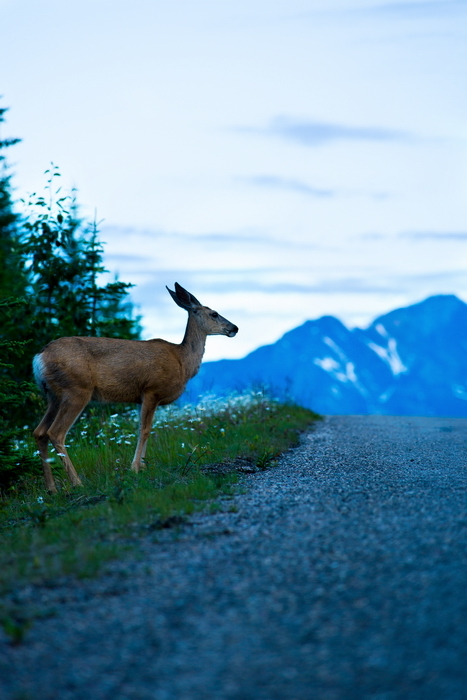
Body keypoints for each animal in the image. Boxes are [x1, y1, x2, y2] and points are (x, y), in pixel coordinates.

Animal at [33, 284, 239, 492]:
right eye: (214, 313)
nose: (234, 328)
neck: (182, 361)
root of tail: (39, 357)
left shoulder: (140, 398)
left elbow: (145, 429)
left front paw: (143, 465)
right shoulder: (151, 389)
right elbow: (144, 430)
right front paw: (135, 468)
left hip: (54, 396)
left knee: (39, 432)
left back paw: (51, 489)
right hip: (77, 389)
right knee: (56, 433)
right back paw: (77, 482)